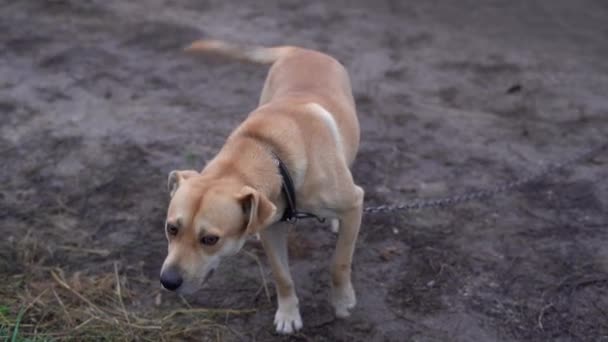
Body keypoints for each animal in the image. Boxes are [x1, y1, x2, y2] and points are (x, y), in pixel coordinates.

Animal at [159, 40, 364, 334]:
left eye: (210, 240)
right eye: (171, 228)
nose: (168, 281)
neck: (268, 151)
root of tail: (301, 50)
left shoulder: (355, 204)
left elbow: (340, 263)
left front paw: (343, 301)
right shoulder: (272, 227)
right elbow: (281, 275)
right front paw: (288, 314)